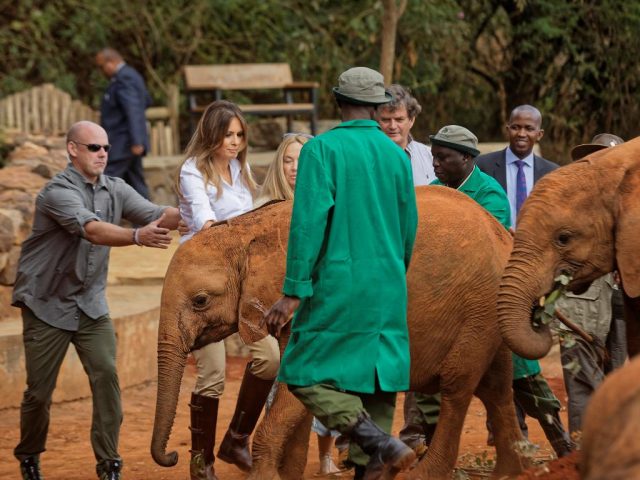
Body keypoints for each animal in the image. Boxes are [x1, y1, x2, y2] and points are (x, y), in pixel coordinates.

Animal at [150, 187, 524, 480]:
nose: (171, 457)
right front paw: (288, 475)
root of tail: (502, 232)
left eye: (200, 301)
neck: (246, 232)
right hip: (488, 309)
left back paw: (426, 473)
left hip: (477, 305)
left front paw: (264, 477)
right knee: (496, 387)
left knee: (458, 387)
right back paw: (509, 472)